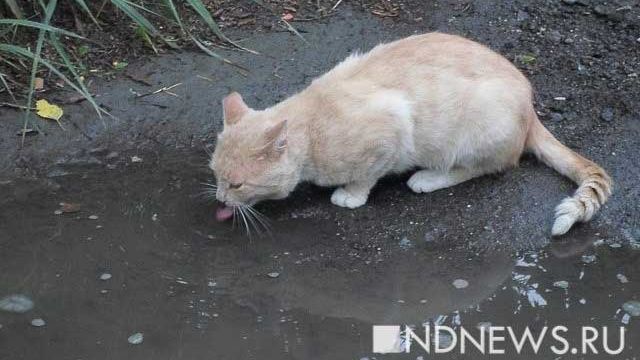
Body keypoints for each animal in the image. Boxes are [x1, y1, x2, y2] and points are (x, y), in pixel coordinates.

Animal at [209, 32, 608, 235]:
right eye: (216, 176)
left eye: (237, 184)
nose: (220, 199)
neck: (312, 131)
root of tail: (530, 106)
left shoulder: (392, 127)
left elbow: (367, 175)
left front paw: (351, 195)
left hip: (477, 130)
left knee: (490, 165)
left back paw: (429, 178)